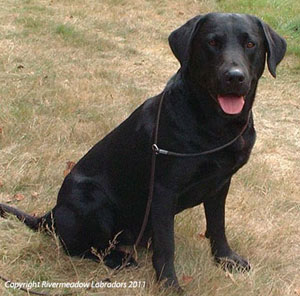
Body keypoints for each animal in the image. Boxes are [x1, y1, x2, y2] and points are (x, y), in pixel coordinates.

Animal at [0, 13, 286, 292]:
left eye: (250, 44)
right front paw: (170, 285)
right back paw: (119, 259)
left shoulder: (220, 183)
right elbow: (167, 245)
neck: (215, 127)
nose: (234, 77)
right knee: (79, 247)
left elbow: (217, 226)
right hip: (91, 198)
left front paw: (225, 259)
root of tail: (51, 214)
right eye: (212, 42)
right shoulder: (163, 190)